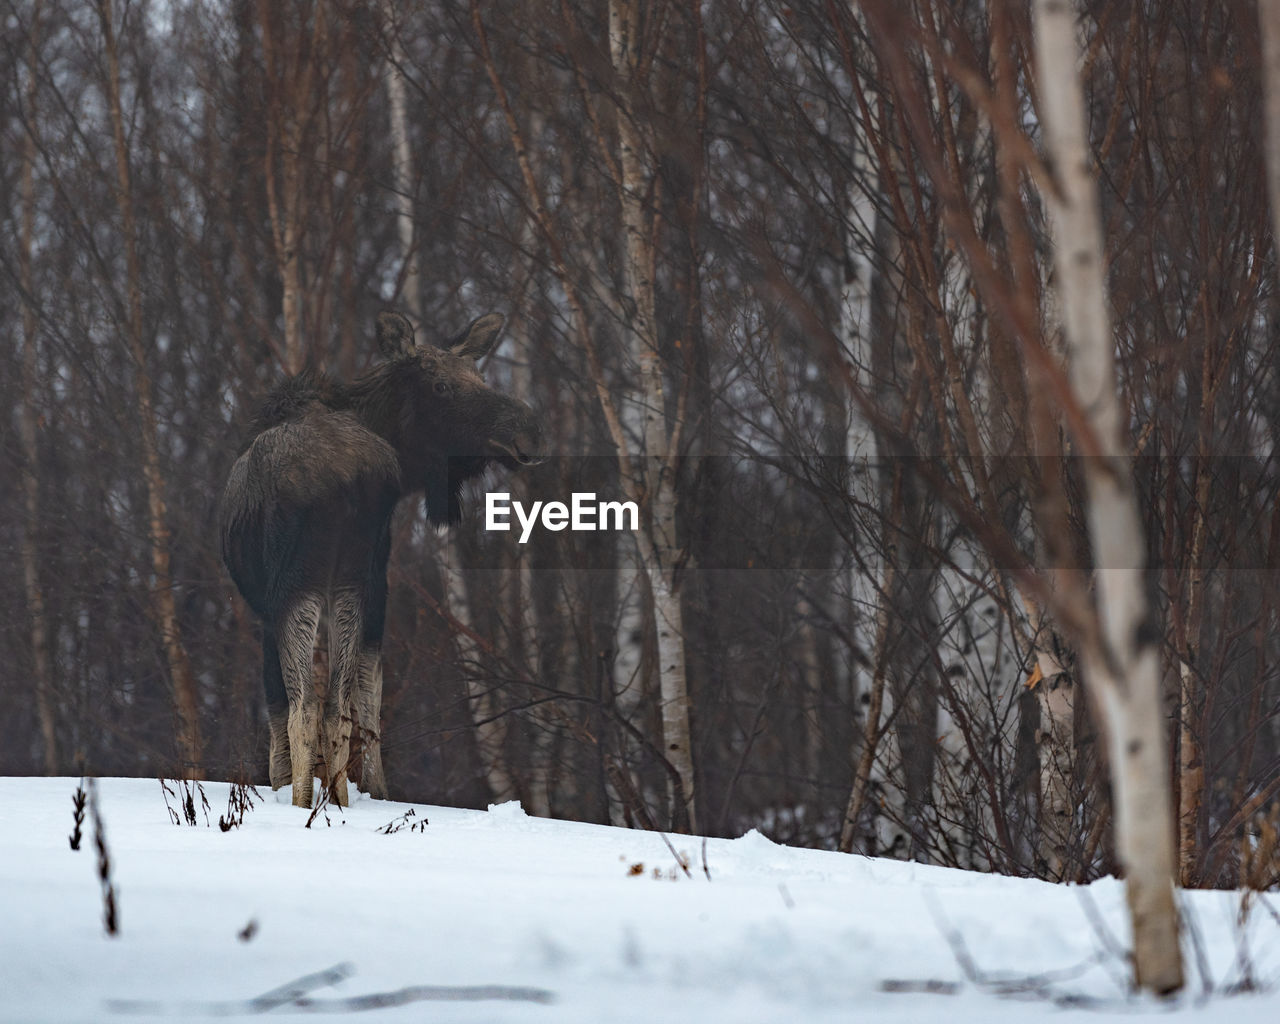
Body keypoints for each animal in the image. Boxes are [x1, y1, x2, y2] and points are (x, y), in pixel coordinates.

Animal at [220, 312, 540, 808]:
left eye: (480, 377)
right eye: (442, 386)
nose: (526, 432)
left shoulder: (263, 607)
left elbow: (278, 704)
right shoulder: (376, 575)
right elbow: (369, 687)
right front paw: (377, 789)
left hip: (299, 582)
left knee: (306, 706)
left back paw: (304, 804)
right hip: (351, 577)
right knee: (340, 705)